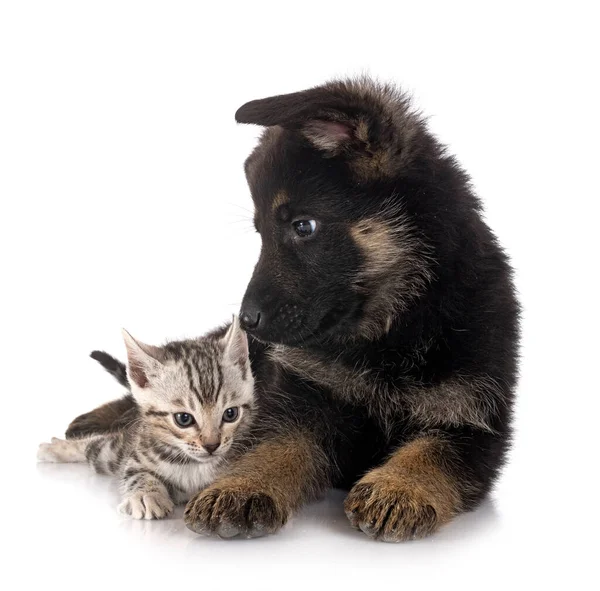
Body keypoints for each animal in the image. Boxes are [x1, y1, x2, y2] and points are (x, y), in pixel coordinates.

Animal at [37, 316, 253, 520]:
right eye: (183, 419)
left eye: (230, 414)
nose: (211, 445)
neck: (193, 465)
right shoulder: (137, 457)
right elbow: (136, 474)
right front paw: (145, 495)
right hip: (112, 452)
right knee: (95, 446)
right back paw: (54, 448)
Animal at [68, 78, 520, 540]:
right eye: (260, 231)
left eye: (303, 226)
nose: (248, 322)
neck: (391, 330)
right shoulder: (301, 401)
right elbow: (278, 445)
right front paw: (242, 487)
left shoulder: (473, 425)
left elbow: (432, 452)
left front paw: (398, 486)